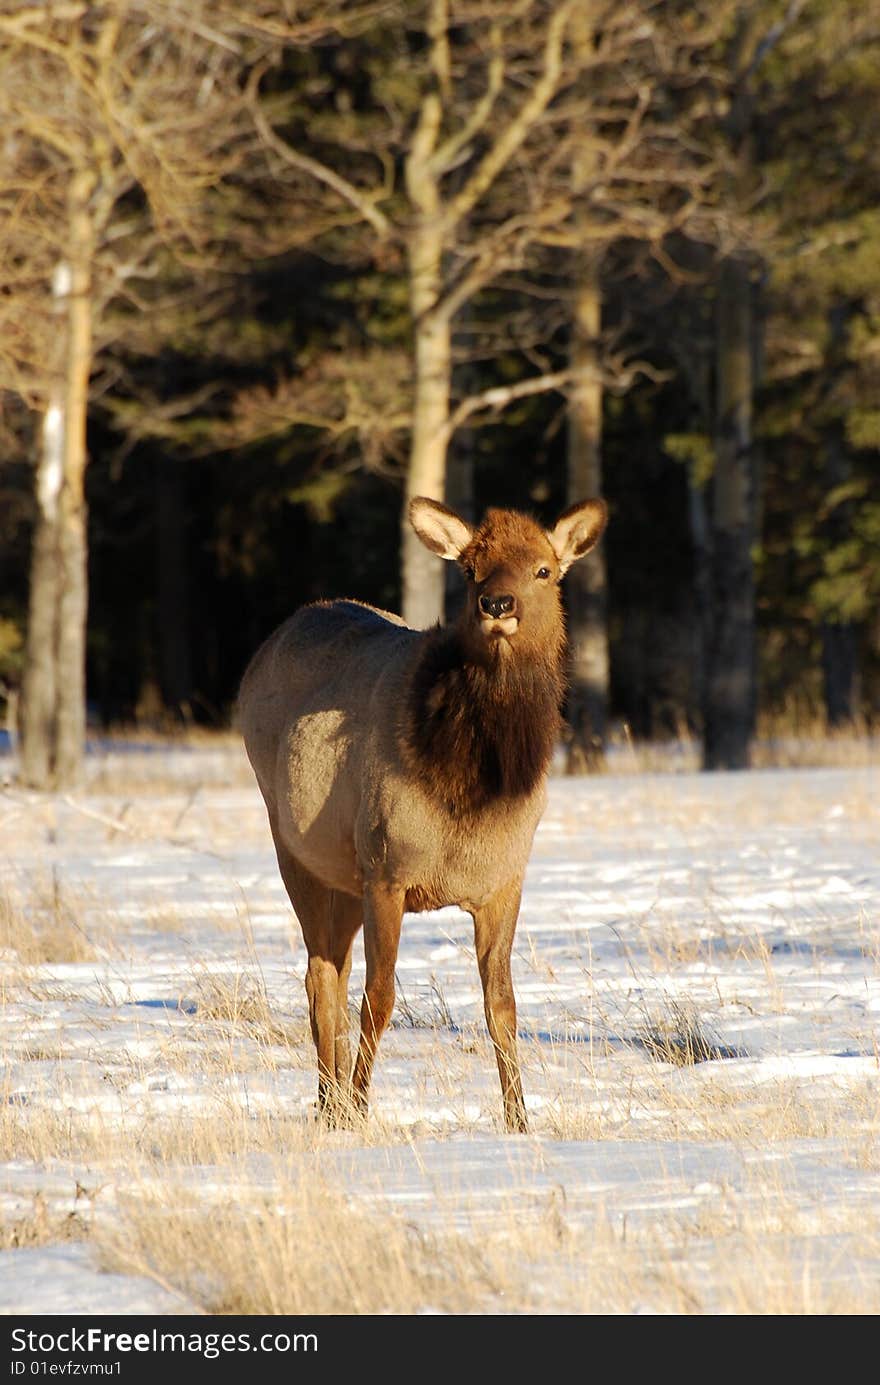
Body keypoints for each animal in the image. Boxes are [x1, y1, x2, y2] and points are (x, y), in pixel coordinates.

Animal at [241, 493, 612, 1130]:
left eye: (543, 569)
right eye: (470, 570)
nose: (498, 603)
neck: (469, 798)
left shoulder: (503, 881)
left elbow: (502, 1006)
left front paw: (520, 1119)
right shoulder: (386, 870)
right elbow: (381, 997)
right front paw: (362, 1106)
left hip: (343, 879)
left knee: (332, 969)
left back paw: (329, 1102)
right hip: (296, 849)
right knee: (320, 974)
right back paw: (331, 1105)